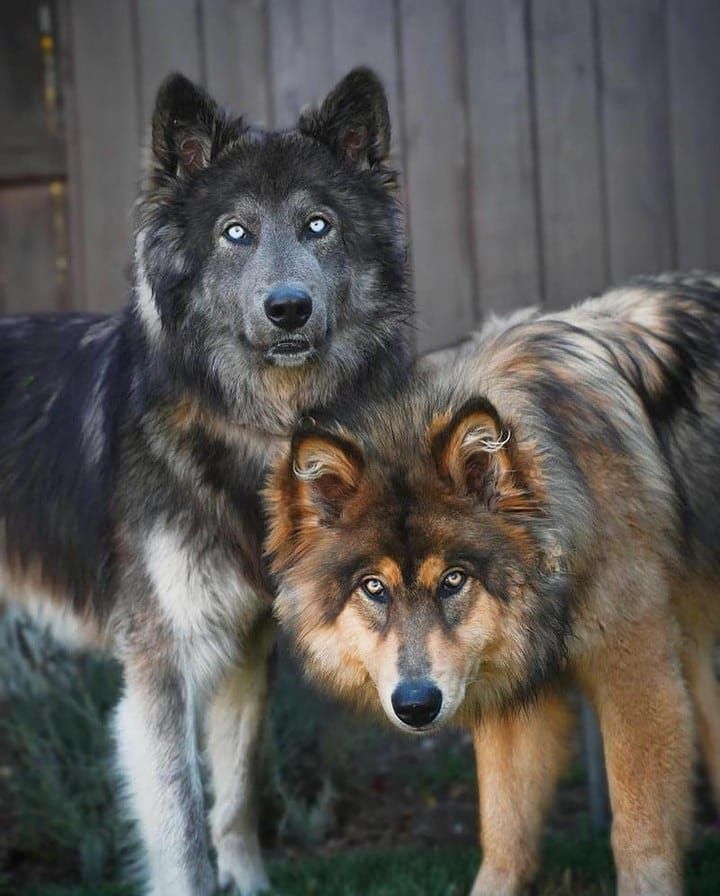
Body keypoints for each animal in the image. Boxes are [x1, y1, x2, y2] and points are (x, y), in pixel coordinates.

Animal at [264, 274, 720, 896]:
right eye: (373, 588)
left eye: (453, 580)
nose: (416, 705)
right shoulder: (512, 704)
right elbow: (504, 836)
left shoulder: (636, 676)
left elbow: (639, 834)